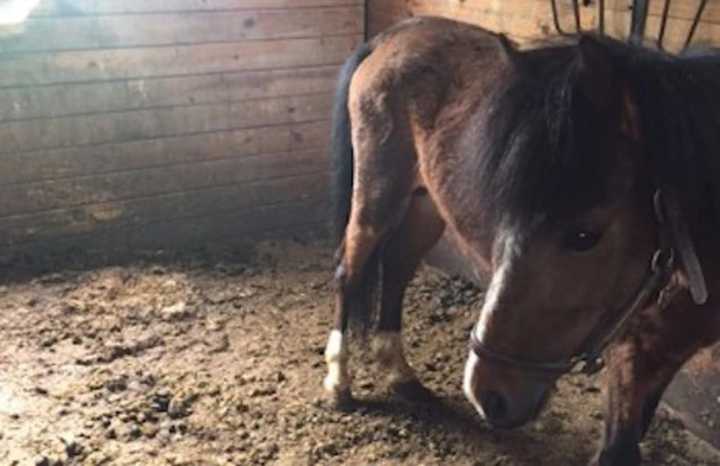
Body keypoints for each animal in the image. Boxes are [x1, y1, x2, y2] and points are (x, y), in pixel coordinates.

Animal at [324, 15, 720, 466]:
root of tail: (393, 35)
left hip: (425, 205)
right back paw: (339, 382)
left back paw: (401, 376)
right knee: (349, 271)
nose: (487, 394)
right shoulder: (632, 352)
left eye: (584, 235)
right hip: (378, 194)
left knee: (396, 270)